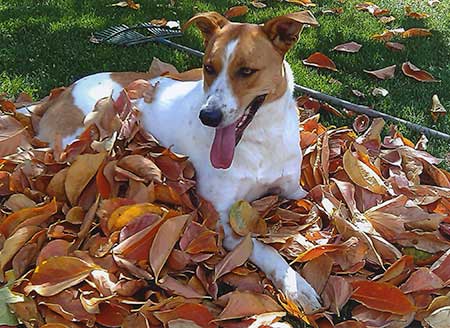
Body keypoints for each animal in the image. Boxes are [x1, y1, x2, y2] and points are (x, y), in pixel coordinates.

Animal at [24, 10, 322, 312]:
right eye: (208, 67)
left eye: (246, 71)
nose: (208, 116)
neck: (259, 140)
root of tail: (62, 94)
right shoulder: (222, 220)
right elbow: (266, 248)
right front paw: (295, 284)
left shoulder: (296, 190)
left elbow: (323, 206)